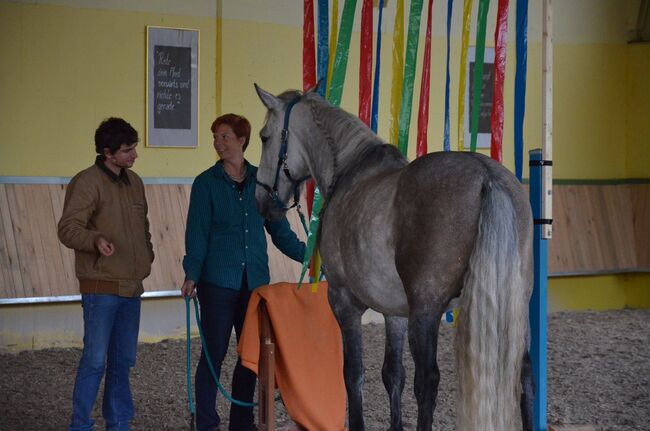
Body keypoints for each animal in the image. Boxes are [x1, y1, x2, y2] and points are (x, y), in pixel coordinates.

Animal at [252, 85, 532, 431]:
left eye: (264, 137)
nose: (262, 200)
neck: (350, 172)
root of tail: (486, 176)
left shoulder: (344, 303)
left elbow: (353, 374)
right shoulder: (395, 313)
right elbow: (393, 375)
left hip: (426, 311)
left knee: (427, 382)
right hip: (516, 306)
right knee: (525, 376)